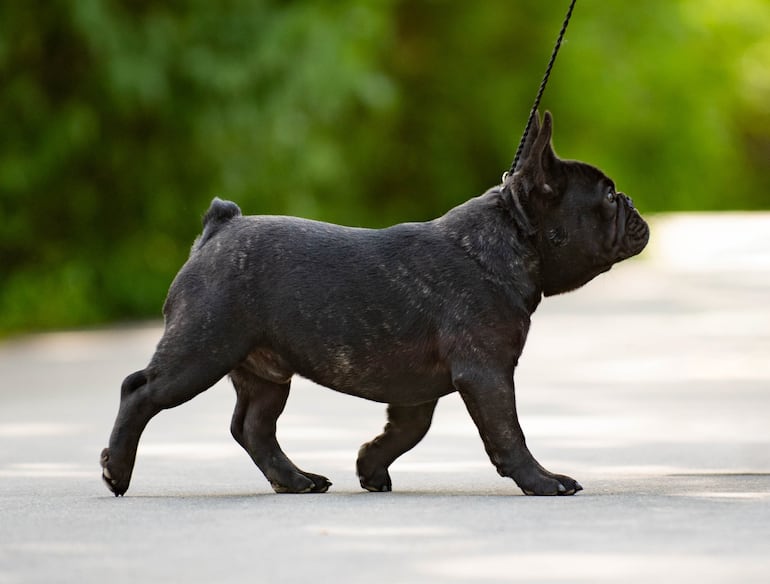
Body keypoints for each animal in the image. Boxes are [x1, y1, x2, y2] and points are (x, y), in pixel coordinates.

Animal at [99, 112, 644, 496]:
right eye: (608, 197)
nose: (632, 203)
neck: (510, 236)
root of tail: (219, 228)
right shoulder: (486, 373)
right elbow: (508, 431)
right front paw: (542, 481)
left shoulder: (420, 389)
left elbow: (407, 430)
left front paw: (369, 466)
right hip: (202, 349)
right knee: (139, 391)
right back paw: (116, 471)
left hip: (265, 371)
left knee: (253, 427)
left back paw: (295, 480)